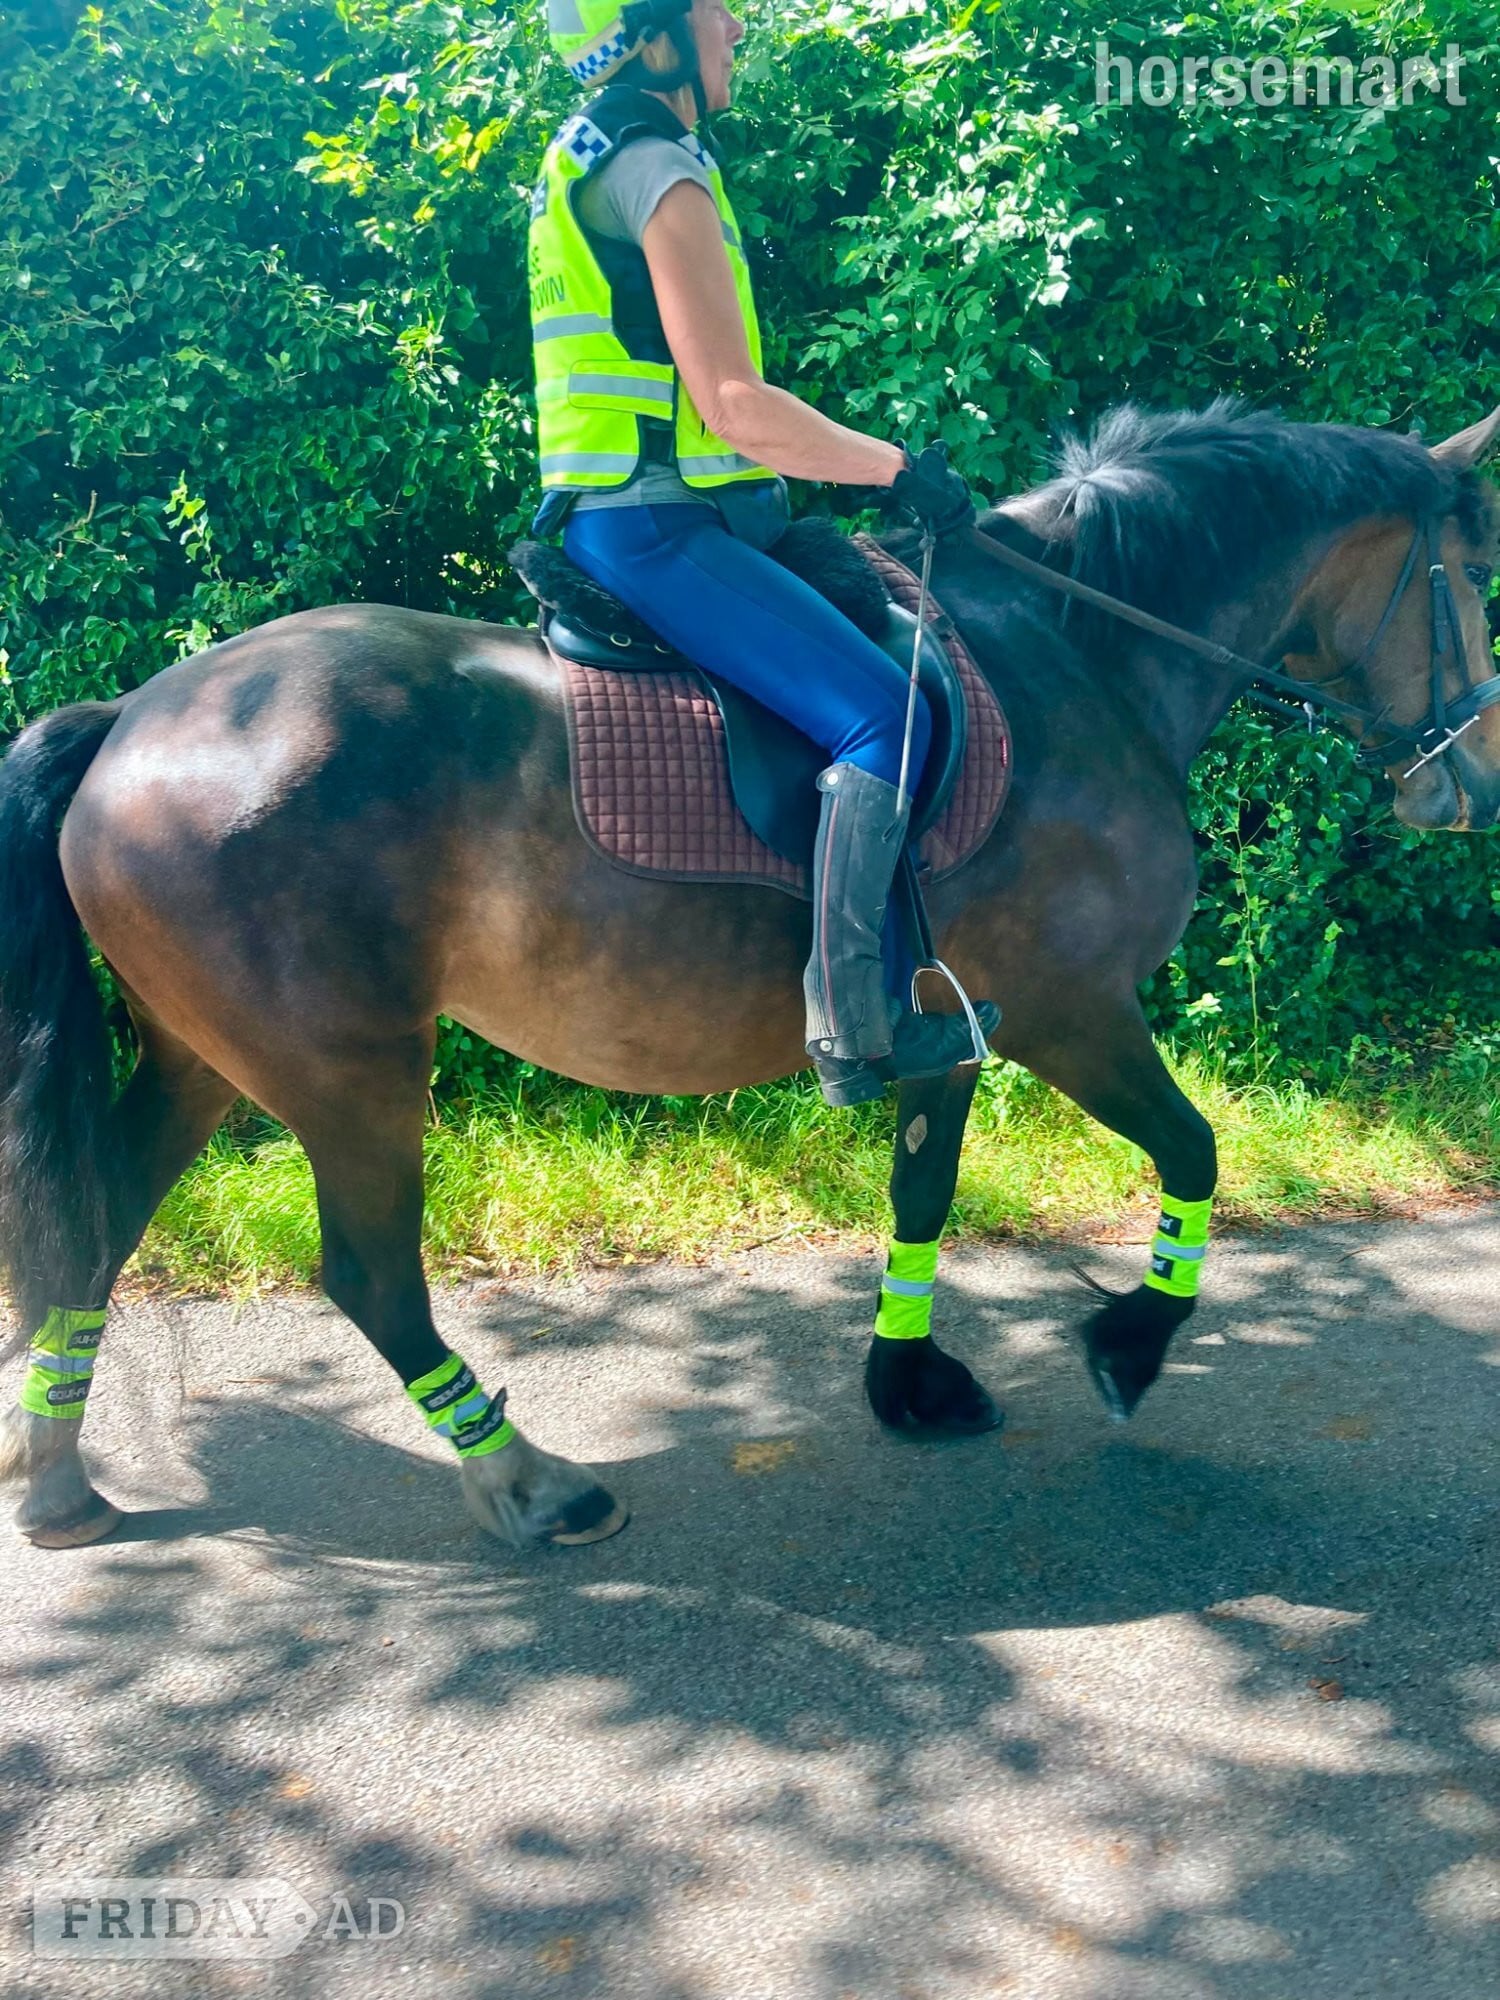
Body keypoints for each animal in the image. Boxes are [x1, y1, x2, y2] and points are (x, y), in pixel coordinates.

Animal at [1, 399, 1497, 1550]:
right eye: (1474, 579)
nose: (1468, 786)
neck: (1083, 654)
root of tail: (130, 717)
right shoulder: (1075, 1014)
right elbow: (1195, 1154)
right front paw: (1128, 1349)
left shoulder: (944, 1027)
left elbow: (922, 1190)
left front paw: (910, 1379)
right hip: (346, 1070)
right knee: (371, 1275)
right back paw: (531, 1483)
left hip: (204, 1058)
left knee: (98, 1225)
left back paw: (61, 1485)